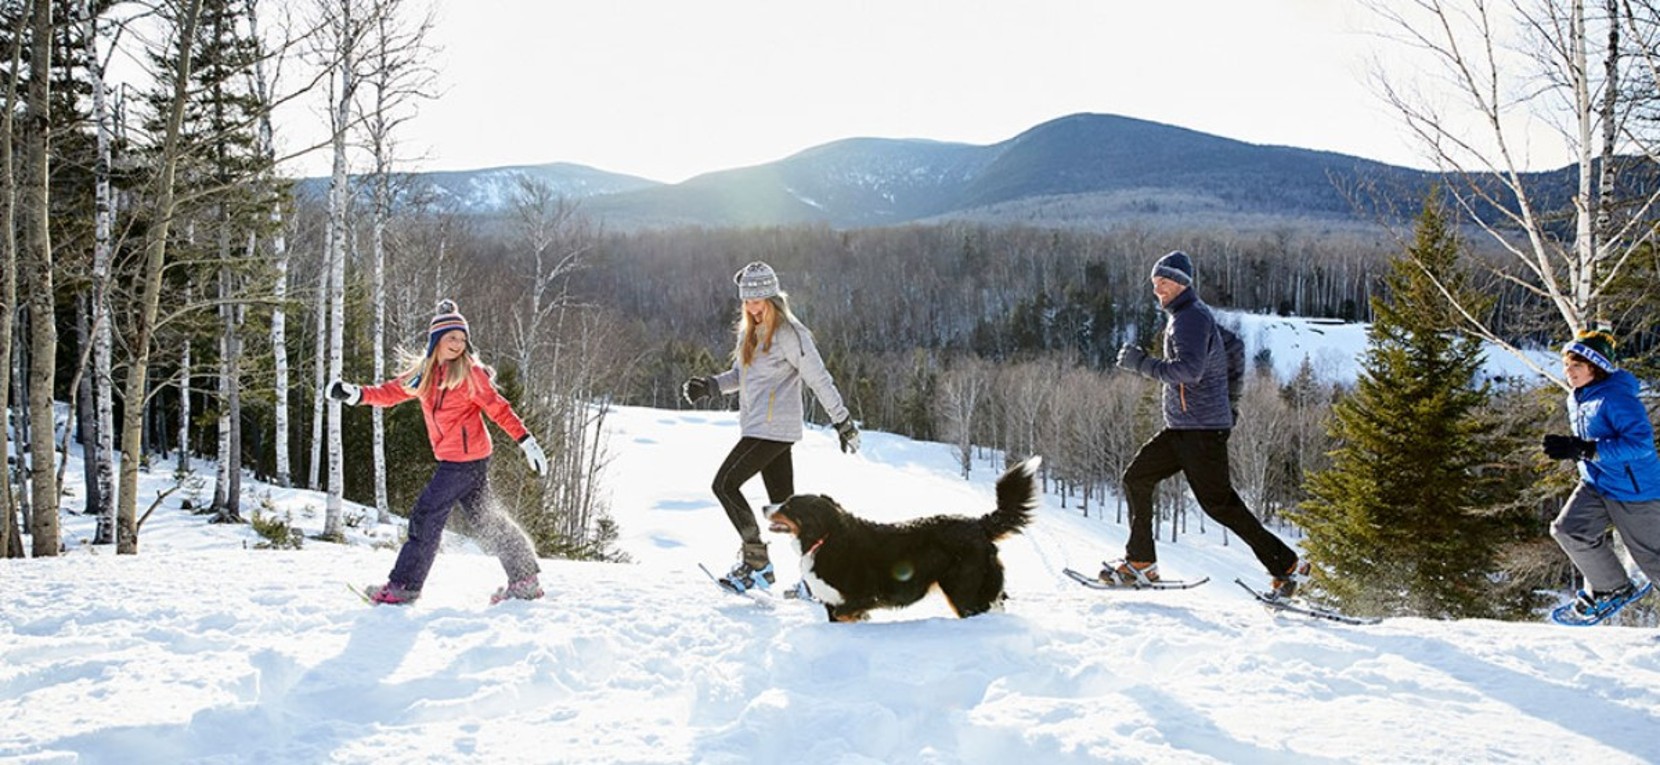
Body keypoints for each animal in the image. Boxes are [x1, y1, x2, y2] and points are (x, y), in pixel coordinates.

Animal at [763, 454, 1035, 620]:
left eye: (788, 506)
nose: (765, 507)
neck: (825, 539)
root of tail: (977, 524)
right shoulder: (832, 602)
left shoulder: (861, 597)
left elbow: (848, 613)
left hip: (962, 591)